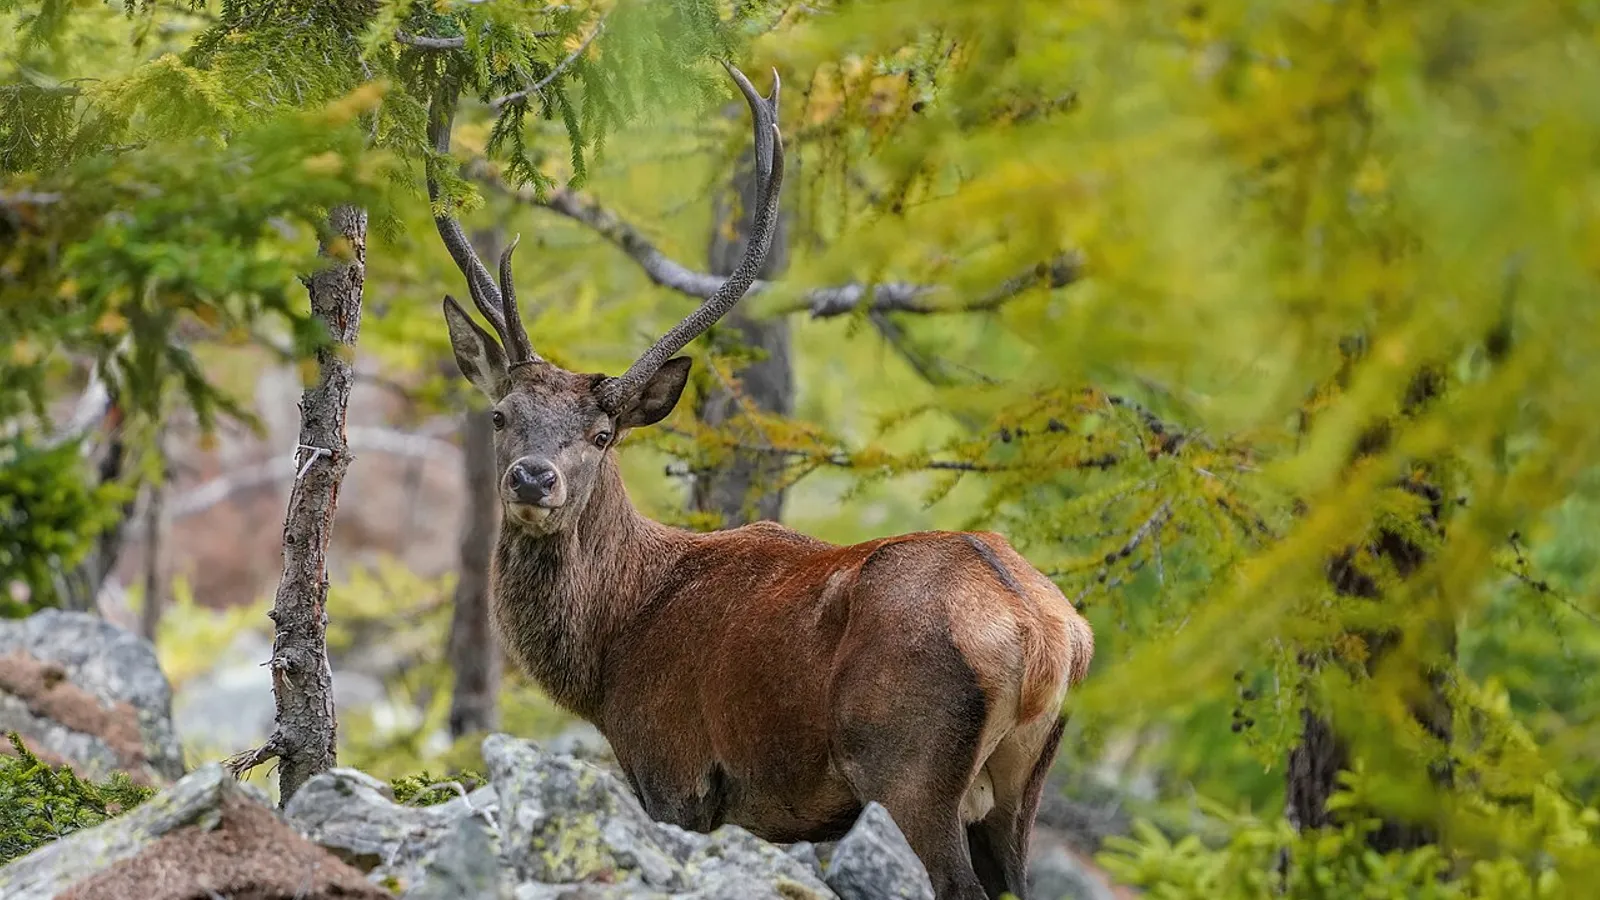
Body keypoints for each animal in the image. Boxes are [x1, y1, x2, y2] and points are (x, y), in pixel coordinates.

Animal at [428, 61, 1095, 900]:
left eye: (603, 435)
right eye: (501, 415)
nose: (532, 478)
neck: (613, 646)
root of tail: (1043, 634)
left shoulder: (674, 770)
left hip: (910, 767)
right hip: (1020, 787)